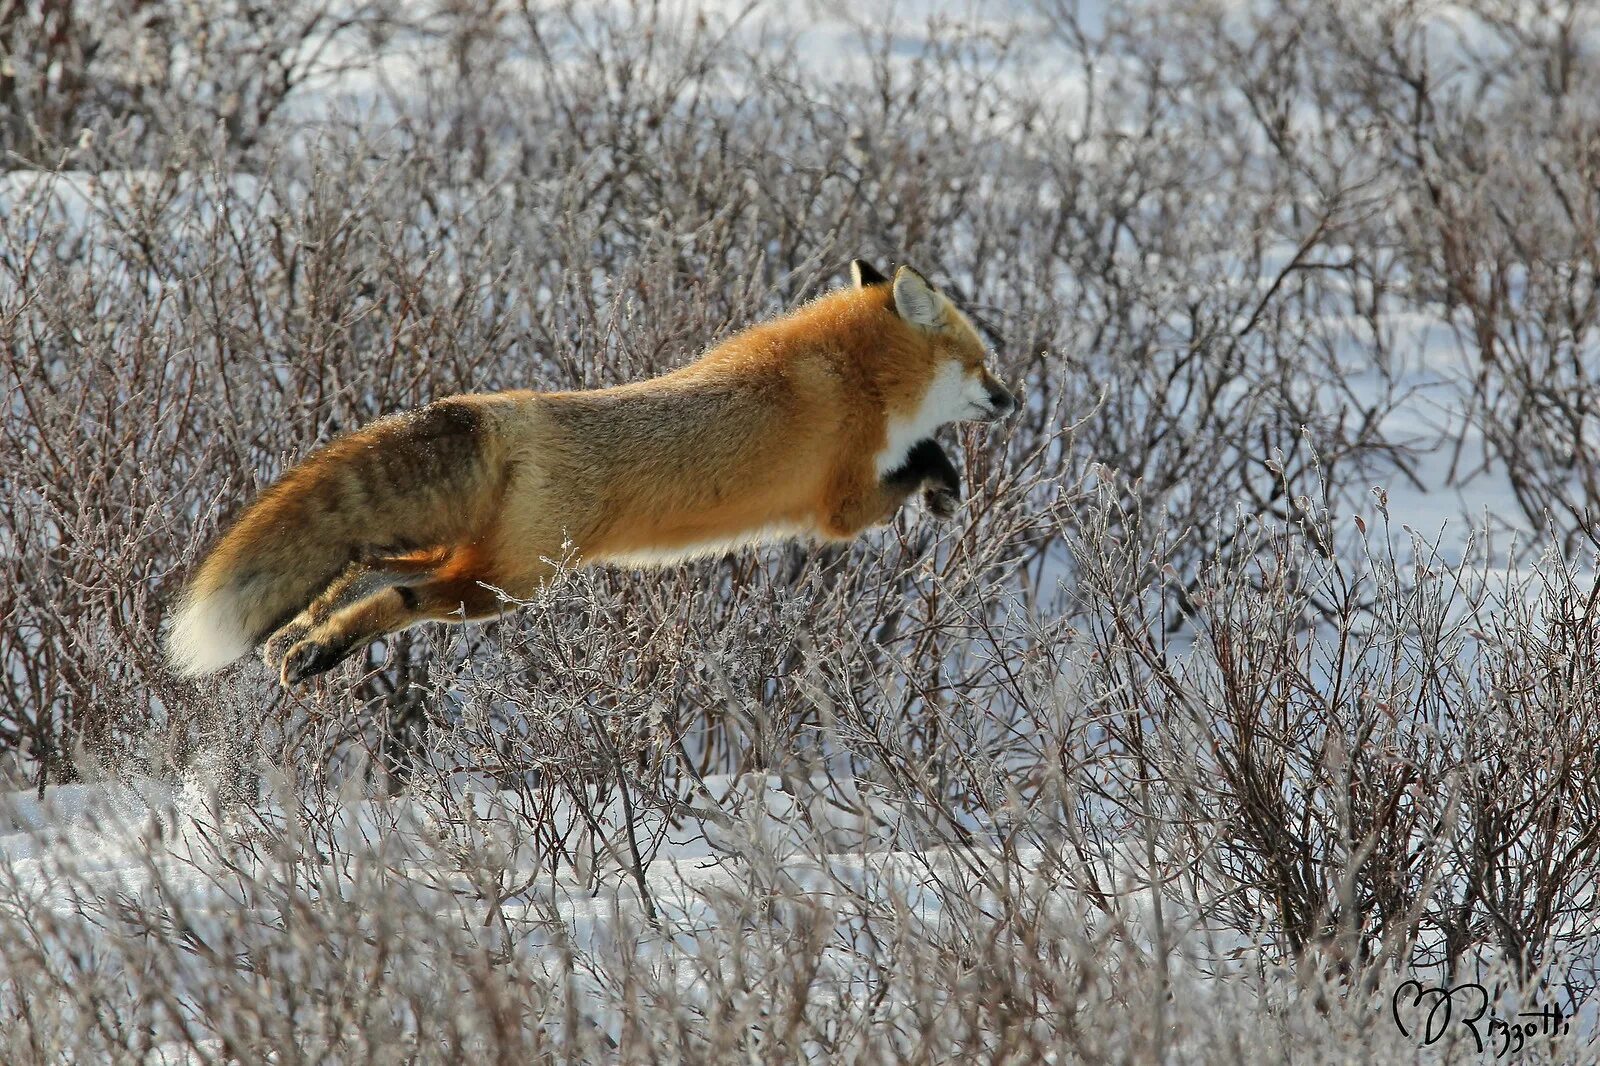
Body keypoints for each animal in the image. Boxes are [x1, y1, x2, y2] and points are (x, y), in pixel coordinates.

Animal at [162, 260, 1011, 685]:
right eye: (983, 364)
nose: (1014, 398)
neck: (855, 371)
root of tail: (502, 409)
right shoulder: (843, 503)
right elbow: (916, 462)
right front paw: (944, 482)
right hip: (506, 586)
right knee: (401, 598)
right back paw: (319, 654)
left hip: (478, 561)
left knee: (365, 569)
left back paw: (299, 640)